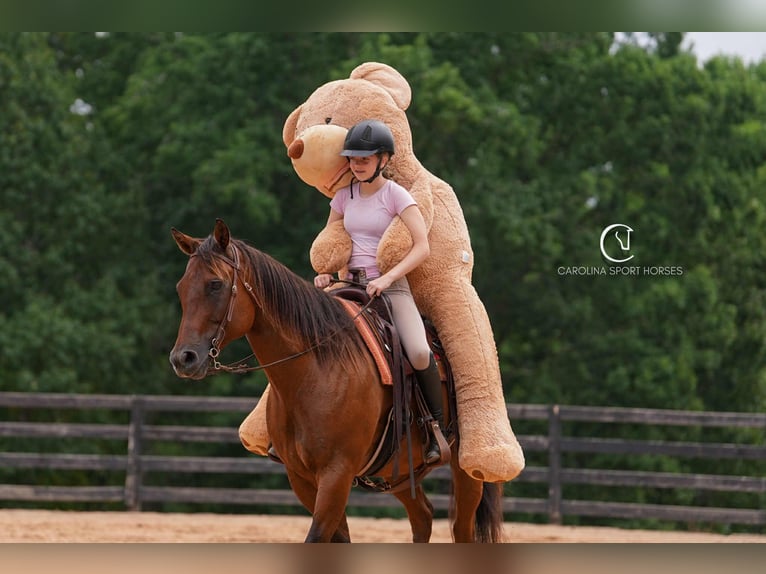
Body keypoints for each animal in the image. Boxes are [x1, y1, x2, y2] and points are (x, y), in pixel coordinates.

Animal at [168, 219, 505, 543]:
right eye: (181, 287)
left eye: (215, 284)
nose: (183, 358)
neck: (314, 373)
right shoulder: (302, 478)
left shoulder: (336, 475)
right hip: (400, 473)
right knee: (422, 516)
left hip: (465, 472)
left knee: (461, 529)